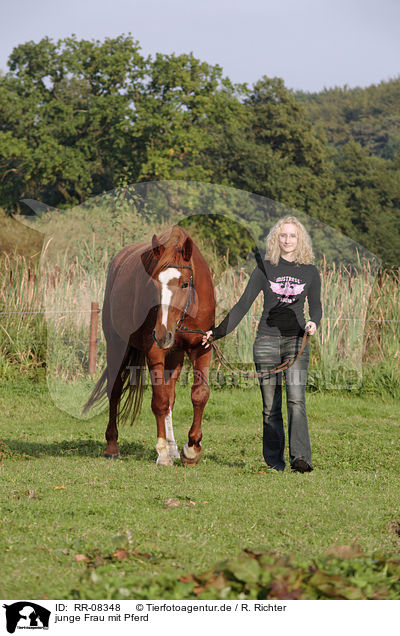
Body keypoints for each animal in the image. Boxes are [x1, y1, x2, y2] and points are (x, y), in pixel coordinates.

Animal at [83, 226, 216, 464]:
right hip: (116, 345)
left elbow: (199, 394)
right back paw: (112, 446)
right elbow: (160, 401)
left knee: (170, 395)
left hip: (173, 354)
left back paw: (173, 447)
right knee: (115, 390)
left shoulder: (202, 347)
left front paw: (191, 448)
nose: (162, 333)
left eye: (185, 284)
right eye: (154, 283)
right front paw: (162, 452)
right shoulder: (154, 352)